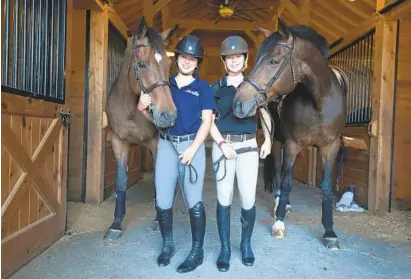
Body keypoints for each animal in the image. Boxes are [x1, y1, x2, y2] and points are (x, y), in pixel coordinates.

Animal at [104, 17, 178, 241]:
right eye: (142, 64)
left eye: (169, 64)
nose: (168, 115)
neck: (129, 108)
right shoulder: (118, 142)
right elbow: (121, 182)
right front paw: (116, 225)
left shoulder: (156, 143)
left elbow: (159, 178)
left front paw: (158, 219)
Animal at [232, 18, 348, 250]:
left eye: (274, 61)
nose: (239, 103)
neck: (319, 102)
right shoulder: (293, 144)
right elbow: (286, 182)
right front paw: (279, 223)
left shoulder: (331, 147)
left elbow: (327, 187)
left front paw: (330, 232)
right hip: (278, 142)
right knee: (279, 172)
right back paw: (280, 204)